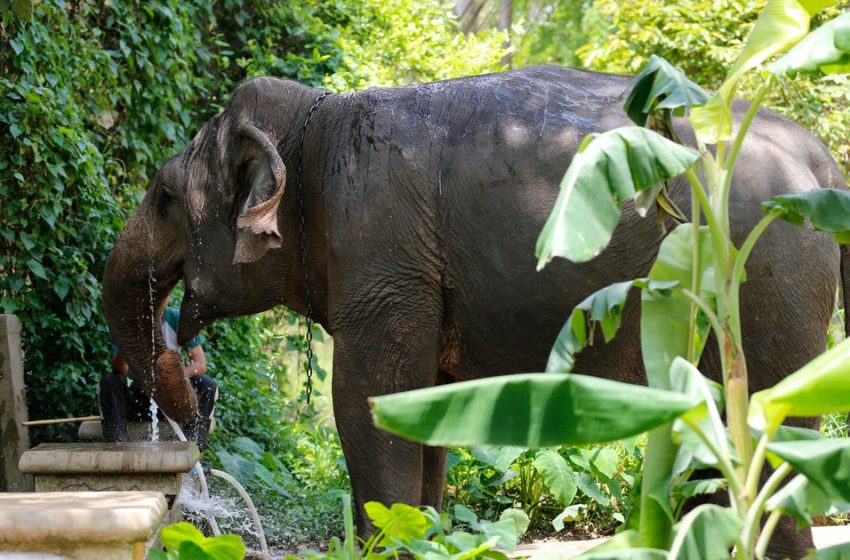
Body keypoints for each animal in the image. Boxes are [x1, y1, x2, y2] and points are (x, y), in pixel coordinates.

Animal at [102, 66, 849, 558]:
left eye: (164, 198)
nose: (187, 389)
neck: (315, 120)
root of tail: (824, 163)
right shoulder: (411, 277)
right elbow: (420, 405)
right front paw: (422, 533)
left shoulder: (381, 249)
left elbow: (366, 402)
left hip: (765, 270)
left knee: (765, 436)